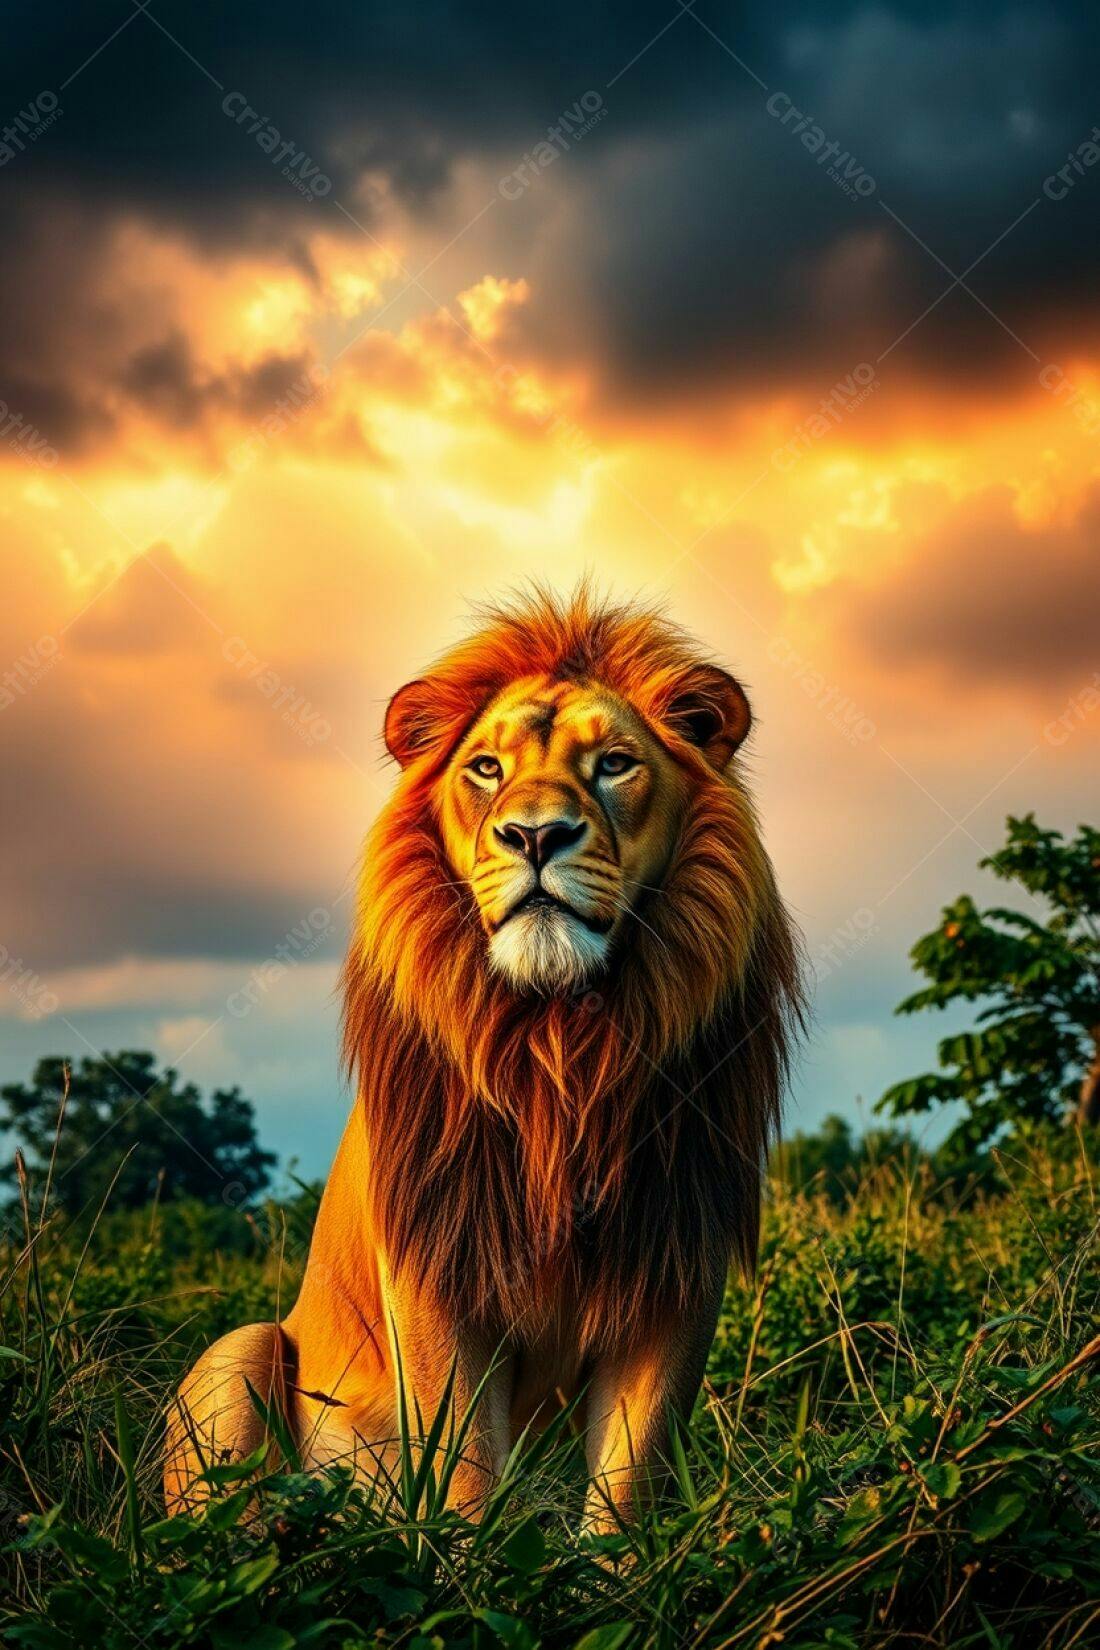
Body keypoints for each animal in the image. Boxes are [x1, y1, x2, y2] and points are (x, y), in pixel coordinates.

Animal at [165, 586, 803, 1532]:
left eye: (615, 764)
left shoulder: (677, 1265)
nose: (536, 836)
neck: (562, 1047)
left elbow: (630, 1475)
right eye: (487, 769)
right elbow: (461, 1466)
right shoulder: (437, 1266)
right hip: (240, 1350)